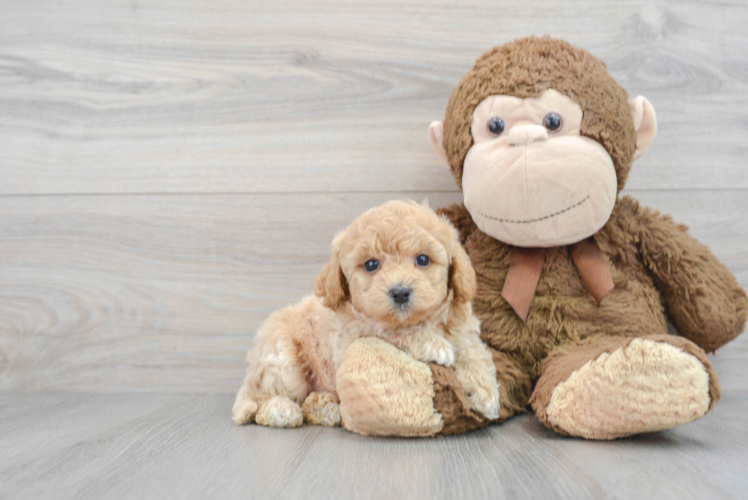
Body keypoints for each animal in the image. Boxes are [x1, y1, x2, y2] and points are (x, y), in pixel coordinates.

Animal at [232, 201, 502, 428]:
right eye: (371, 264)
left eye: (423, 259)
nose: (400, 292)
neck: (421, 319)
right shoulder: (354, 333)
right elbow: (393, 330)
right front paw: (434, 345)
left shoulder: (463, 331)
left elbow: (474, 353)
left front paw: (485, 394)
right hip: (284, 361)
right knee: (258, 398)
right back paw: (282, 410)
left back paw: (325, 409)